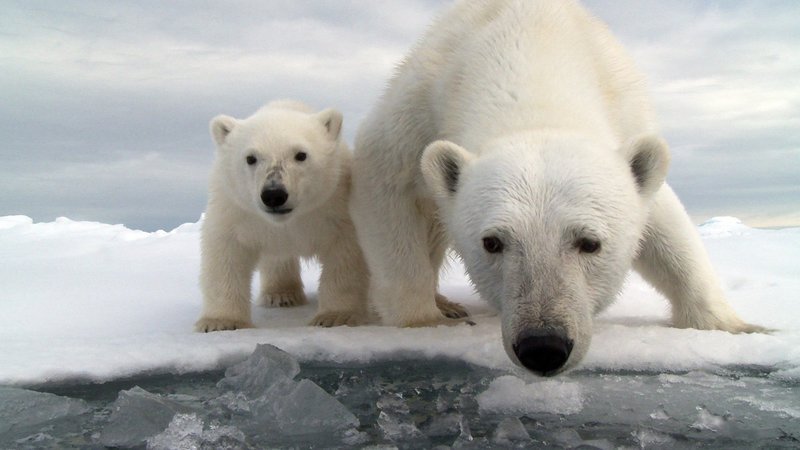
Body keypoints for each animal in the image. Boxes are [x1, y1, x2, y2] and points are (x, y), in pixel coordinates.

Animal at [352, 0, 764, 374]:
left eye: (590, 242)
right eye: (492, 242)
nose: (543, 347)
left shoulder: (626, 116)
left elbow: (666, 226)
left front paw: (737, 327)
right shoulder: (420, 106)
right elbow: (385, 184)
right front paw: (424, 321)